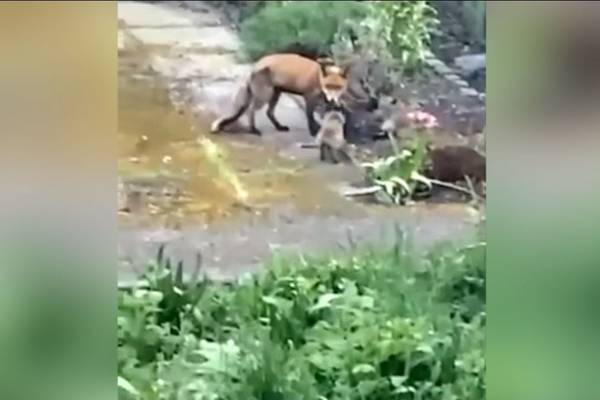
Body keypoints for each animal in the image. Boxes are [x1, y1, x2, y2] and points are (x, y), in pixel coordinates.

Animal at [211, 53, 352, 138]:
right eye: (328, 85)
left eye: (338, 87)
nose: (332, 98)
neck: (318, 78)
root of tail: (255, 65)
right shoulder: (309, 97)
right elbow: (310, 116)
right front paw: (313, 131)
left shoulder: (323, 99)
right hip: (265, 95)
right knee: (251, 110)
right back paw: (253, 129)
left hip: (275, 94)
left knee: (269, 112)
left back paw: (279, 127)